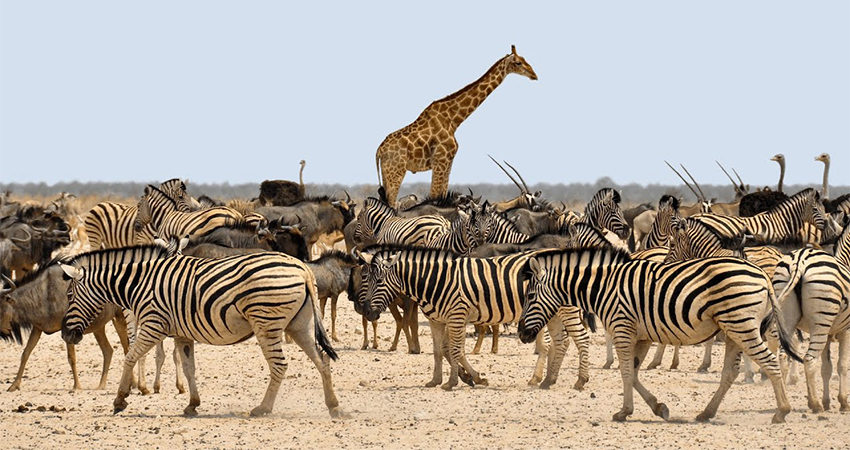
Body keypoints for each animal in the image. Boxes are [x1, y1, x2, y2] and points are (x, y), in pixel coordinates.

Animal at [57, 246, 344, 418]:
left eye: (69, 296)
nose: (66, 335)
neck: (139, 283)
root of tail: (302, 267)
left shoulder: (152, 324)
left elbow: (130, 357)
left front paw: (120, 399)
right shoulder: (182, 334)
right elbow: (189, 368)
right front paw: (192, 404)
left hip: (266, 322)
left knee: (280, 366)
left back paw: (262, 408)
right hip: (299, 324)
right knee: (322, 360)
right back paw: (333, 406)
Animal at [354, 246, 552, 390]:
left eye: (378, 281)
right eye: (366, 278)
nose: (367, 312)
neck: (436, 280)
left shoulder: (456, 317)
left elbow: (455, 350)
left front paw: (452, 382)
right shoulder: (437, 321)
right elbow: (440, 350)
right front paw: (439, 380)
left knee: (548, 344)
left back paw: (538, 378)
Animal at [372, 44, 532, 206]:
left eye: (525, 59)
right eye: (518, 62)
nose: (534, 75)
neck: (454, 120)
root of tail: (379, 151)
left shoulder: (449, 162)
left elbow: (442, 193)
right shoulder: (440, 160)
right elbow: (434, 195)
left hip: (388, 174)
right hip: (395, 172)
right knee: (392, 204)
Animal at [516, 244, 800, 424]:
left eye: (529, 296)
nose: (521, 334)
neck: (604, 286)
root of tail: (762, 274)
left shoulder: (622, 327)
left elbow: (626, 372)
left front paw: (624, 411)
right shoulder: (641, 335)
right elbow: (634, 373)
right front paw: (658, 407)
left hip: (741, 324)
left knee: (770, 362)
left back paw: (782, 411)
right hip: (733, 329)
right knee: (729, 372)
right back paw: (706, 413)